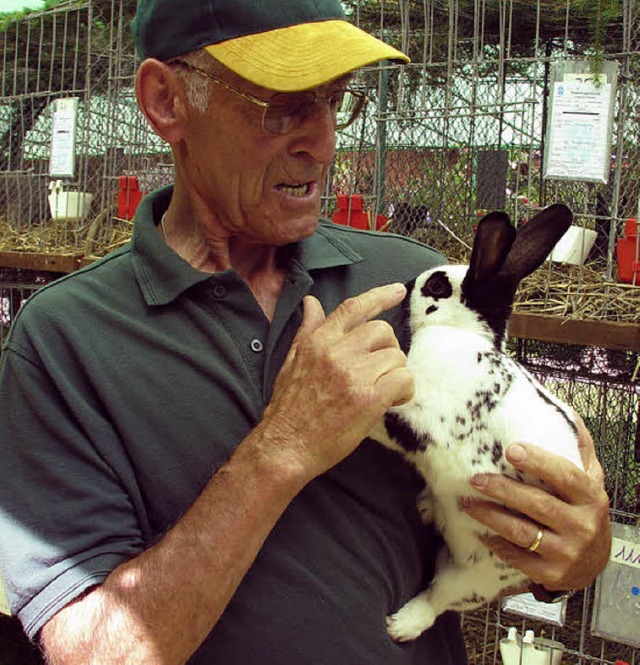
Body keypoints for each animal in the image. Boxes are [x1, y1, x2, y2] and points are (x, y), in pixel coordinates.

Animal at [370, 205, 584, 640]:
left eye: (437, 285)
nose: (406, 285)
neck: (458, 334)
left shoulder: (421, 424)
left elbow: (383, 423)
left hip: (468, 579)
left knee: (436, 601)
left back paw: (400, 626)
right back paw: (427, 506)